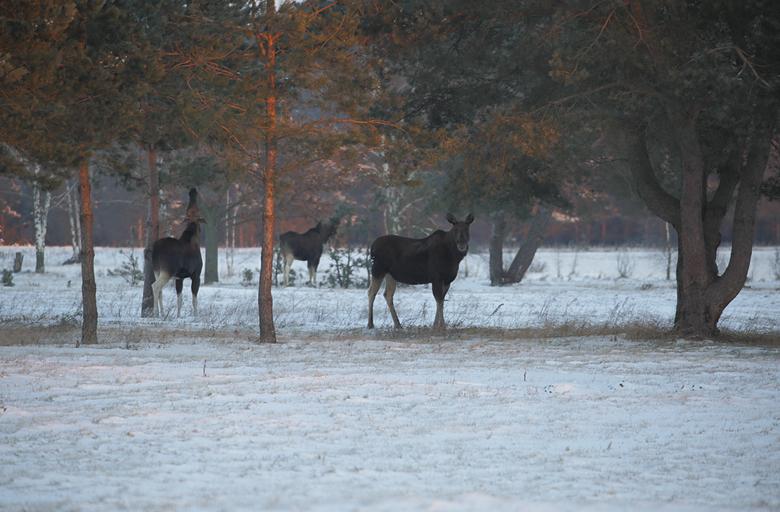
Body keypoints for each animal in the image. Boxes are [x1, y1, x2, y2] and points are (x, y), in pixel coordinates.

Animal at [150, 187, 204, 316]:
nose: (193, 190)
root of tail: (155, 249)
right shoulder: (196, 275)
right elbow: (194, 300)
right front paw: (196, 316)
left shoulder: (179, 278)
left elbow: (179, 299)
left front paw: (178, 316)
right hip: (167, 271)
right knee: (155, 286)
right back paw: (156, 313)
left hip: (157, 270)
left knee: (159, 290)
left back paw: (162, 313)